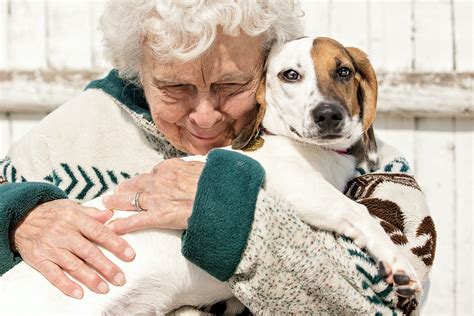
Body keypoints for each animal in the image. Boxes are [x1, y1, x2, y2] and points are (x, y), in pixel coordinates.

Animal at [0, 37, 422, 314]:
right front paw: (399, 265)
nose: (329, 115)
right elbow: (359, 214)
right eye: (290, 75)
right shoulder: (299, 188)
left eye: (344, 71)